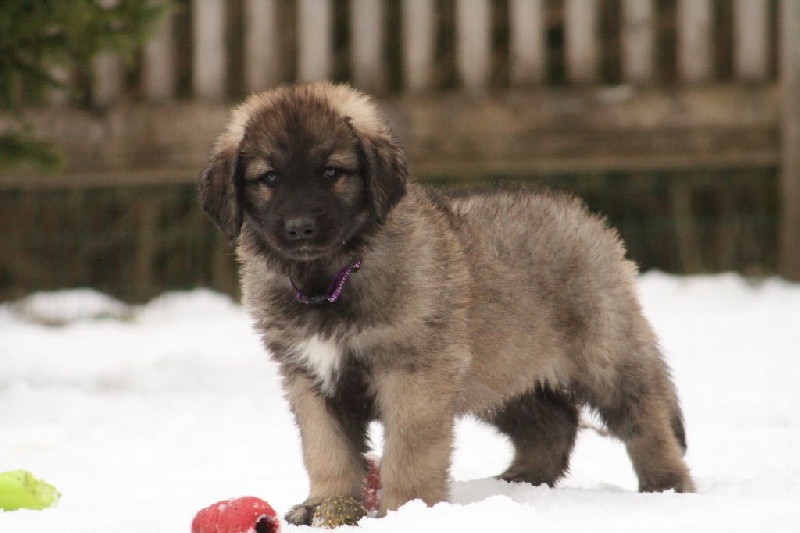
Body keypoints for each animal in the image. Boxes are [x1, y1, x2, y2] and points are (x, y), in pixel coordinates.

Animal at [199, 82, 694, 525]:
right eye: (269, 178)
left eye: (331, 173)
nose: (299, 228)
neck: (333, 278)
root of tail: (585, 216)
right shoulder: (309, 378)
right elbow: (327, 451)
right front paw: (327, 506)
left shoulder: (413, 373)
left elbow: (409, 452)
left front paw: (406, 511)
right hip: (503, 369)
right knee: (553, 422)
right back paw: (520, 480)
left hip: (601, 354)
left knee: (646, 416)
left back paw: (666, 485)